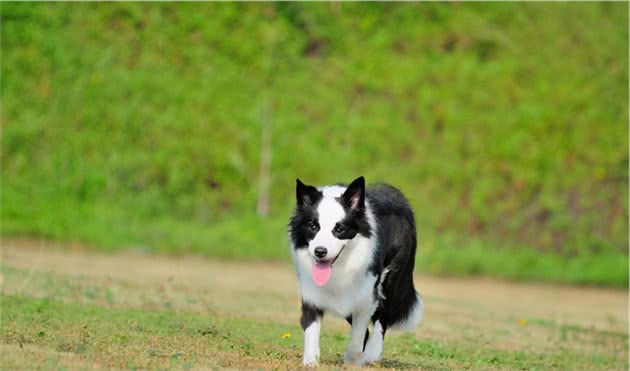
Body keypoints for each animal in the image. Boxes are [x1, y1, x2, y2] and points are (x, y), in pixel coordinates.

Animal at [292, 177, 424, 366]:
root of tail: (399, 196)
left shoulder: (366, 294)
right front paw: (311, 361)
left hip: (392, 278)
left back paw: (371, 353)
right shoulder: (312, 291)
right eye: (313, 226)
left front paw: (354, 359)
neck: (341, 267)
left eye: (339, 229)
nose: (320, 251)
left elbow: (358, 334)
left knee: (382, 318)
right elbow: (311, 327)